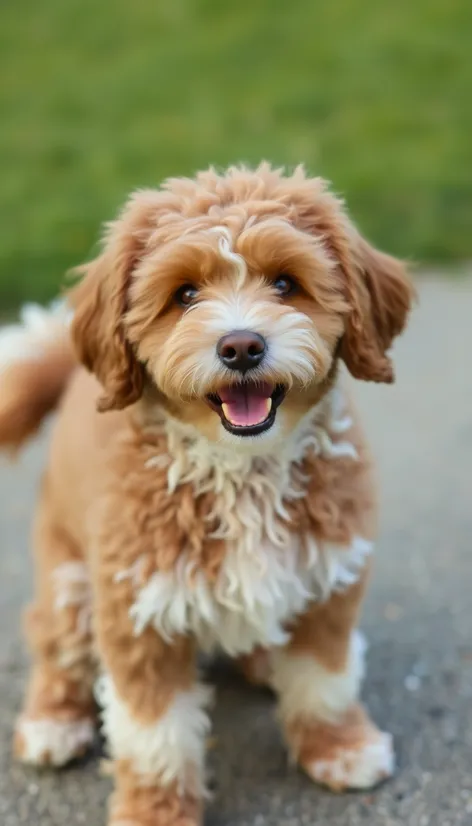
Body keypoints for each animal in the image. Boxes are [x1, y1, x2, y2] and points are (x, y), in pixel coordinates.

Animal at [0, 164, 412, 820]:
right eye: (185, 294)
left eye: (285, 283)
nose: (241, 346)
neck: (242, 470)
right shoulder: (138, 613)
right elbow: (155, 736)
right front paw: (154, 812)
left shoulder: (329, 583)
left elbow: (323, 679)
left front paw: (339, 748)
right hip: (68, 580)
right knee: (52, 641)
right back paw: (52, 723)